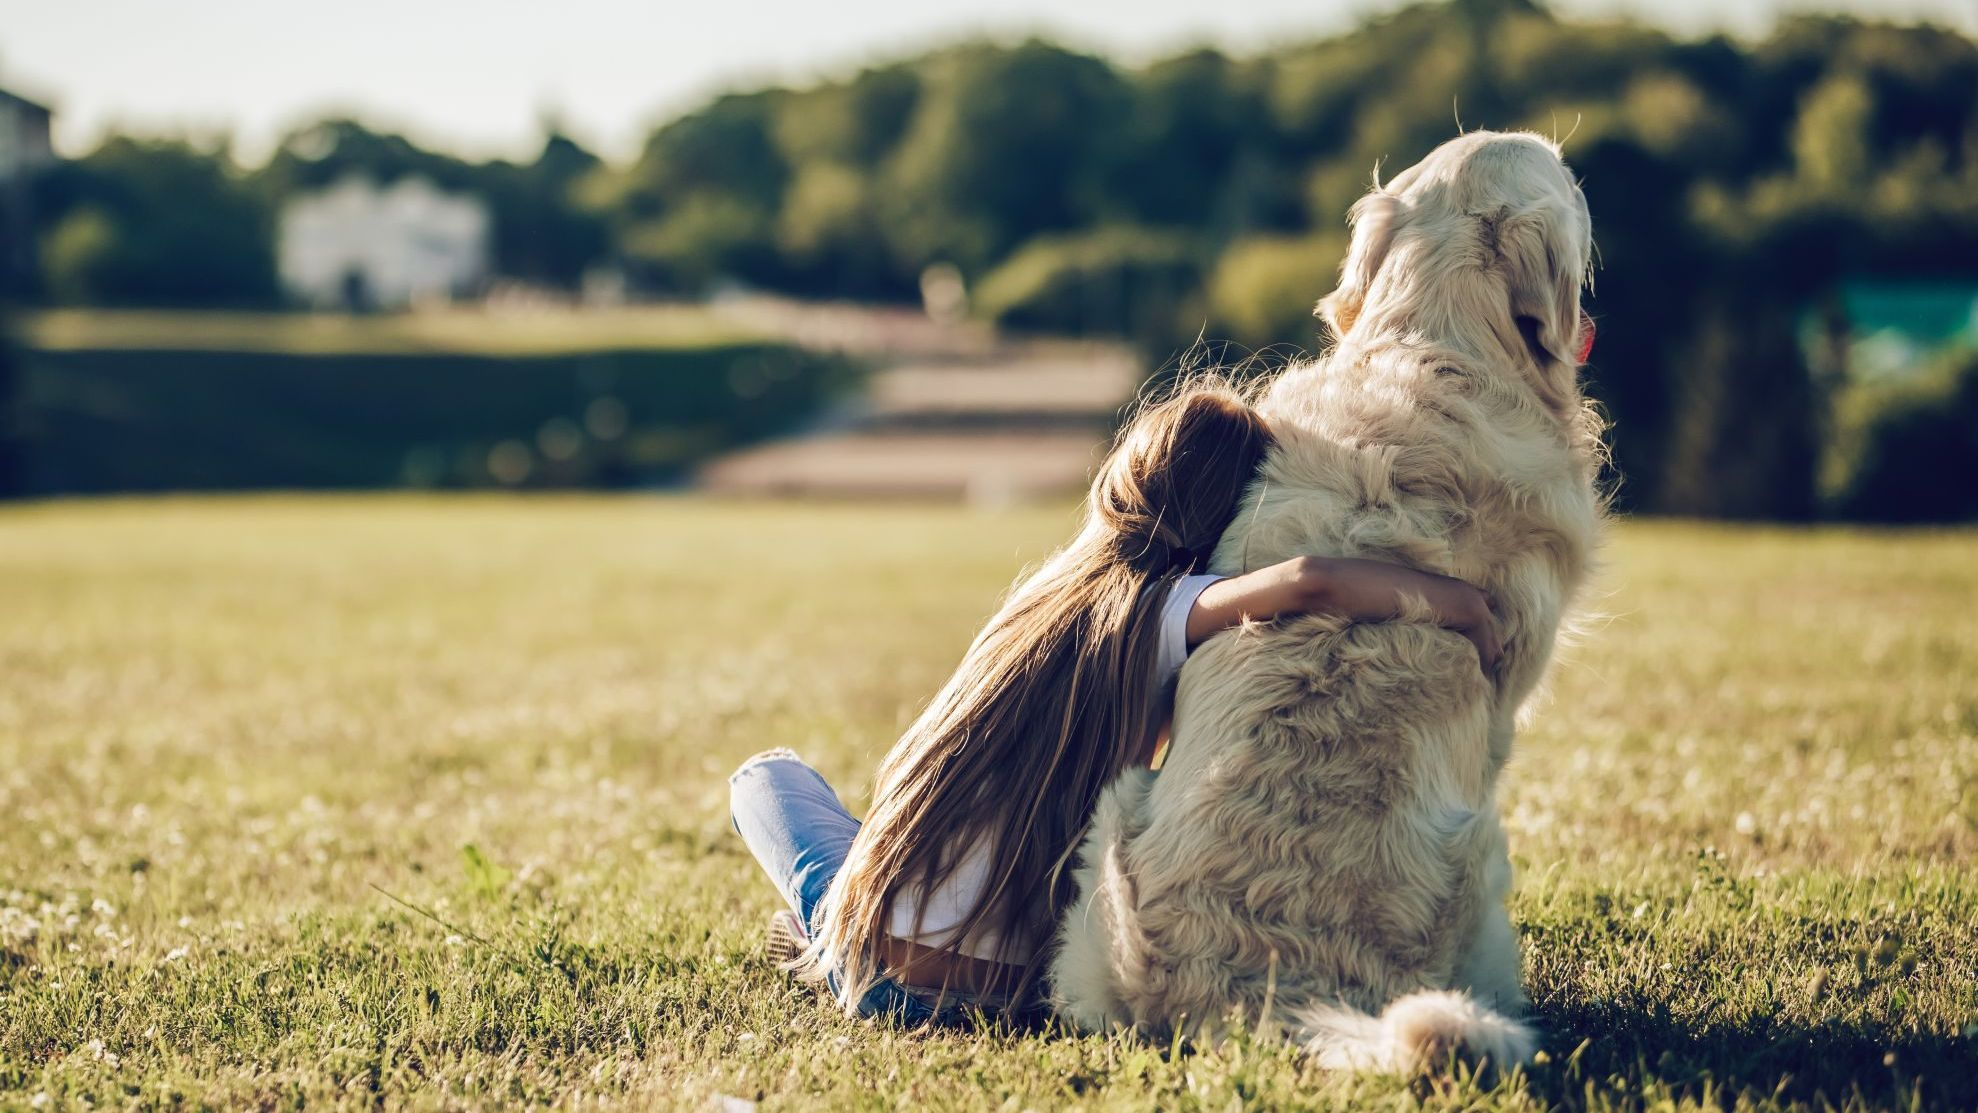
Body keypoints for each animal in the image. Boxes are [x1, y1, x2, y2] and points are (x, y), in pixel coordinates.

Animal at [1052, 132, 1606, 1083]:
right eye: (1568, 182)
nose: (1579, 164)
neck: (1436, 345)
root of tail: (1263, 986)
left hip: (1111, 824)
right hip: (1484, 856)